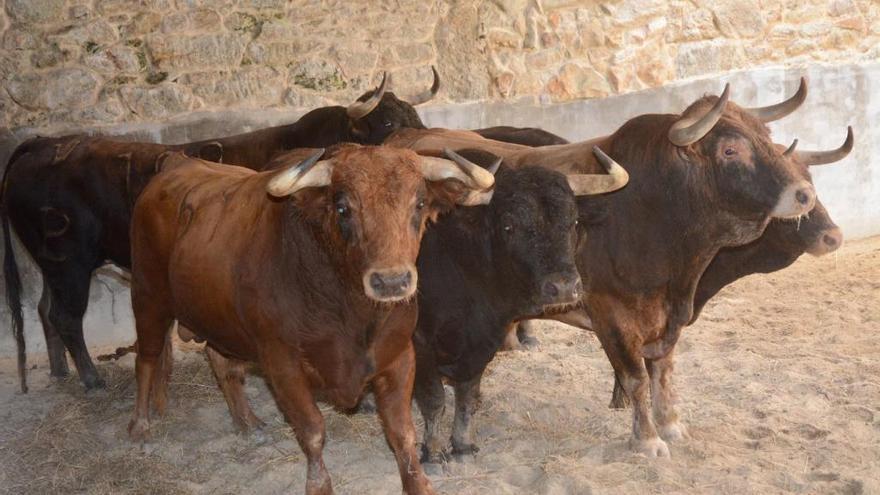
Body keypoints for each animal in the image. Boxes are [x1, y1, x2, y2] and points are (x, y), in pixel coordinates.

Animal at [126, 144, 496, 495]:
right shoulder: (282, 365)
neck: (352, 314)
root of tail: (178, 163)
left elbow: (401, 431)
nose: (391, 281)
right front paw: (319, 486)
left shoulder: (400, 356)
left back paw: (247, 422)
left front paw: (419, 484)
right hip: (148, 298)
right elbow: (313, 431)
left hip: (218, 320)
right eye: (343, 208)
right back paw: (141, 427)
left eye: (419, 204)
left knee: (222, 363)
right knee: (146, 359)